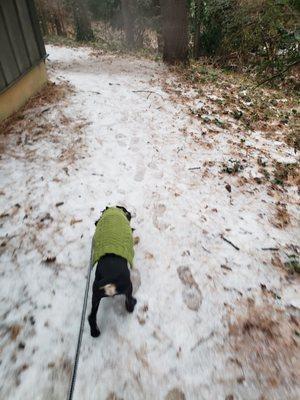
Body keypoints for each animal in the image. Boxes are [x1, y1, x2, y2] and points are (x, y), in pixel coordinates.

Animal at [88, 206, 137, 338]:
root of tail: (109, 279)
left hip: (95, 297)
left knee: (91, 317)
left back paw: (95, 333)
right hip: (128, 287)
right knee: (128, 302)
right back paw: (133, 304)